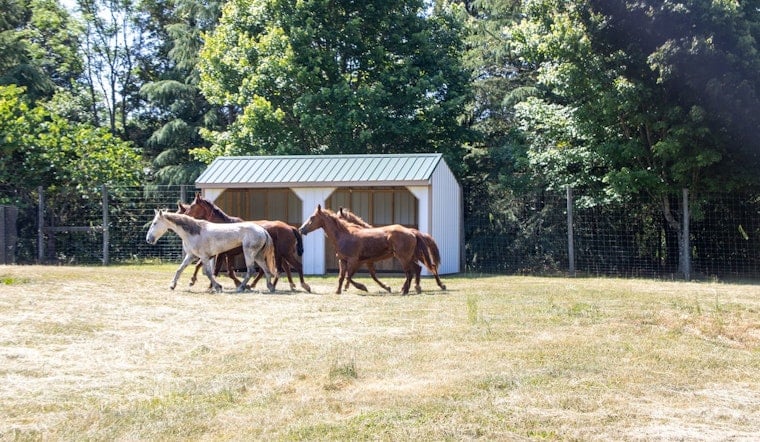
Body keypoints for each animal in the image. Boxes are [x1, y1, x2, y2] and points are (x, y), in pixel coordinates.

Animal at [145, 209, 278, 293]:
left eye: (155, 223)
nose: (148, 239)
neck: (194, 233)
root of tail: (262, 230)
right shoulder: (191, 256)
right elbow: (179, 269)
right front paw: (172, 285)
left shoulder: (204, 257)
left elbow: (209, 273)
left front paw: (218, 287)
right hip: (258, 256)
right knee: (266, 270)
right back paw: (270, 287)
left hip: (249, 254)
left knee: (251, 270)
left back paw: (241, 287)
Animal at [182, 194, 311, 293]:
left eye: (192, 206)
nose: (184, 216)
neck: (223, 226)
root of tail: (290, 228)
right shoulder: (227, 255)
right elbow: (227, 271)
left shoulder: (221, 254)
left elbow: (216, 270)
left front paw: (213, 286)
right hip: (279, 254)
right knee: (281, 268)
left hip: (284, 253)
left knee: (294, 267)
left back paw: (303, 285)